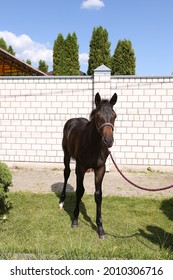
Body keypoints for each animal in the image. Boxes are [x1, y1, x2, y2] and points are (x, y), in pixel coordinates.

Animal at [59, 92, 117, 238]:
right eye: (98, 116)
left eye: (114, 116)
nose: (108, 141)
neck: (93, 145)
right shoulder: (81, 167)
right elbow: (79, 191)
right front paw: (75, 220)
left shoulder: (100, 169)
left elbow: (98, 195)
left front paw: (100, 228)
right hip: (66, 155)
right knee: (66, 173)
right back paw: (62, 201)